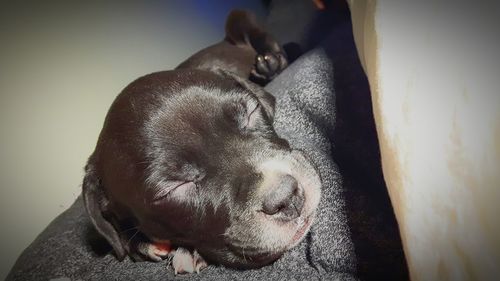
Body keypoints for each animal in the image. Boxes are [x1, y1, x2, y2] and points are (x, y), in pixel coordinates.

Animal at [82, 9, 322, 272]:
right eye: (173, 188)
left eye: (249, 113)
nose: (286, 197)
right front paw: (140, 244)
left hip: (239, 18)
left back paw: (271, 64)